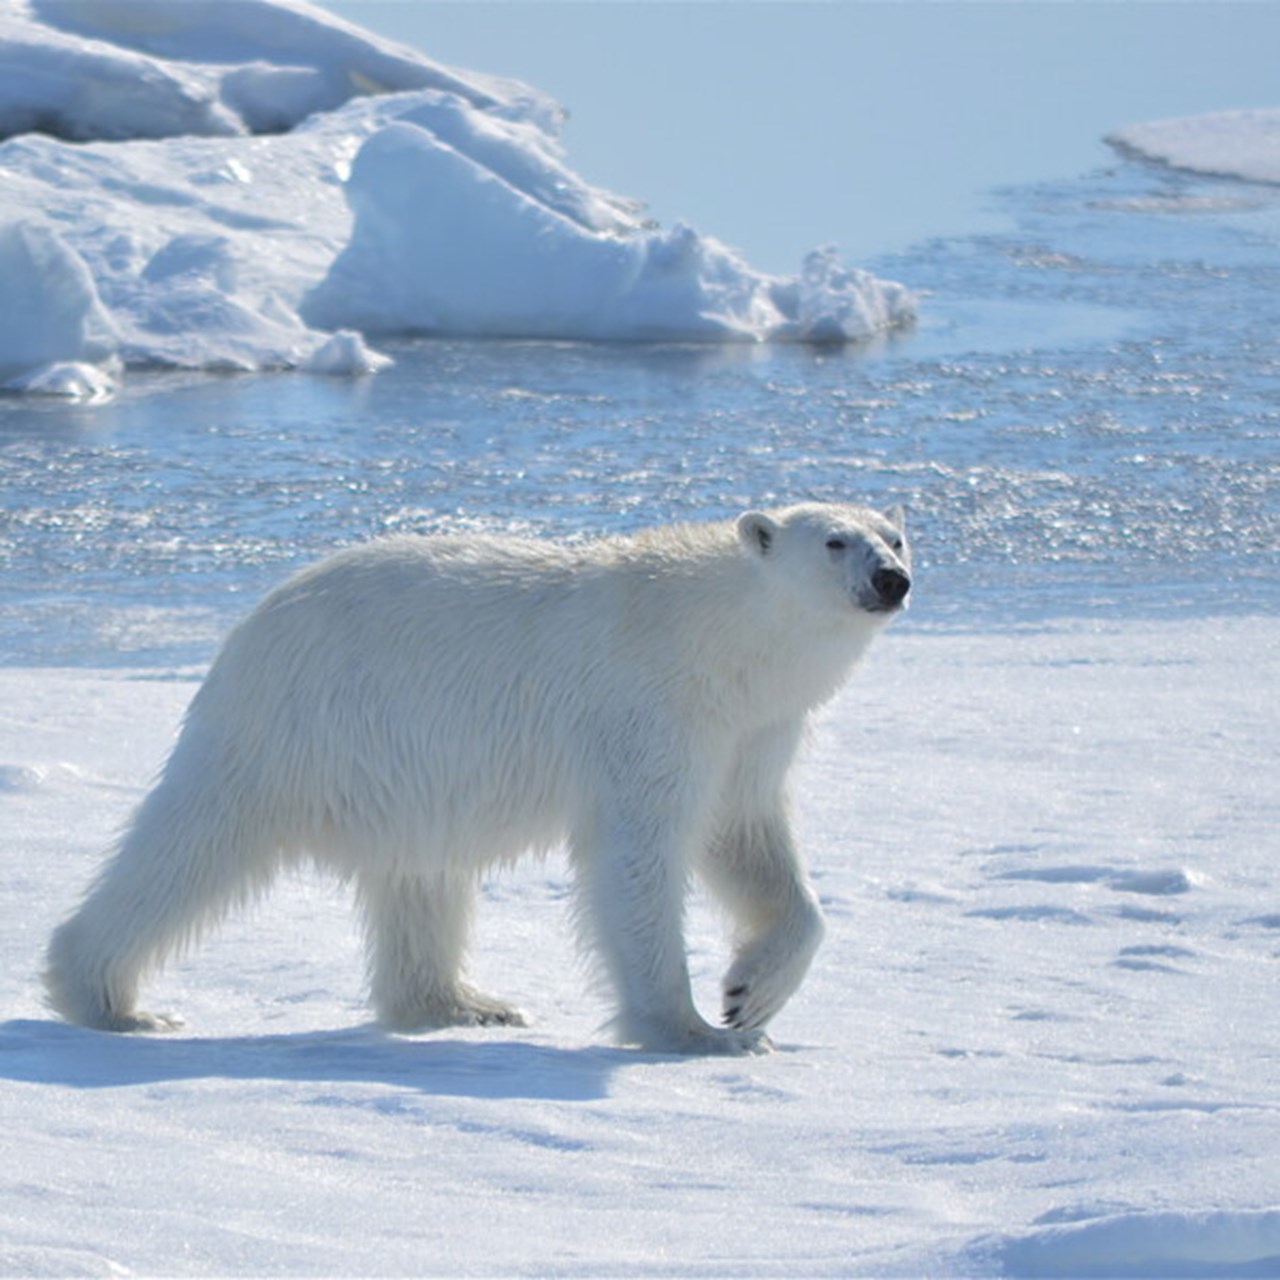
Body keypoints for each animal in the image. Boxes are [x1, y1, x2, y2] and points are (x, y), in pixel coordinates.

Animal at [45, 499, 911, 1049]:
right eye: (834, 541)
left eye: (895, 536)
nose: (890, 580)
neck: (718, 639)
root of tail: (250, 626)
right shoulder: (647, 712)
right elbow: (638, 854)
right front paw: (694, 1031)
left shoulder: (750, 729)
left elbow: (747, 839)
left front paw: (749, 995)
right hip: (301, 727)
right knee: (193, 846)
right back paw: (111, 1002)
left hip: (401, 766)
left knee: (422, 874)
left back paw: (463, 1003)